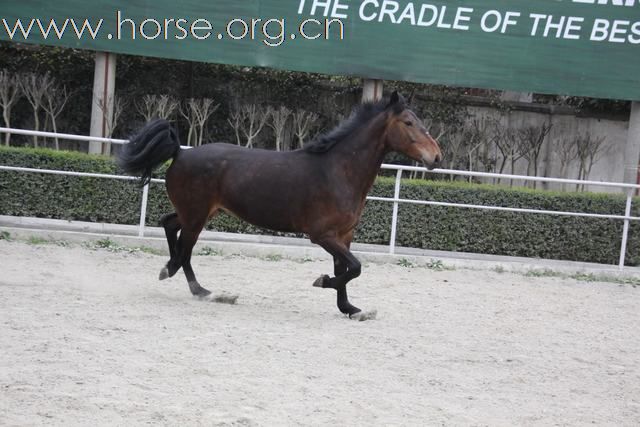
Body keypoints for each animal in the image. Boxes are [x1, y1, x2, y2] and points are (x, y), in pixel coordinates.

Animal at [119, 93, 440, 318]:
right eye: (409, 123)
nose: (436, 157)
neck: (337, 170)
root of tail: (180, 153)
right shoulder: (322, 235)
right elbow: (354, 268)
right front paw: (322, 281)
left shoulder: (343, 236)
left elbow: (346, 271)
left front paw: (351, 309)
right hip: (196, 216)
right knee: (184, 249)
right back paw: (200, 288)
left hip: (198, 212)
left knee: (169, 225)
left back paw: (182, 277)